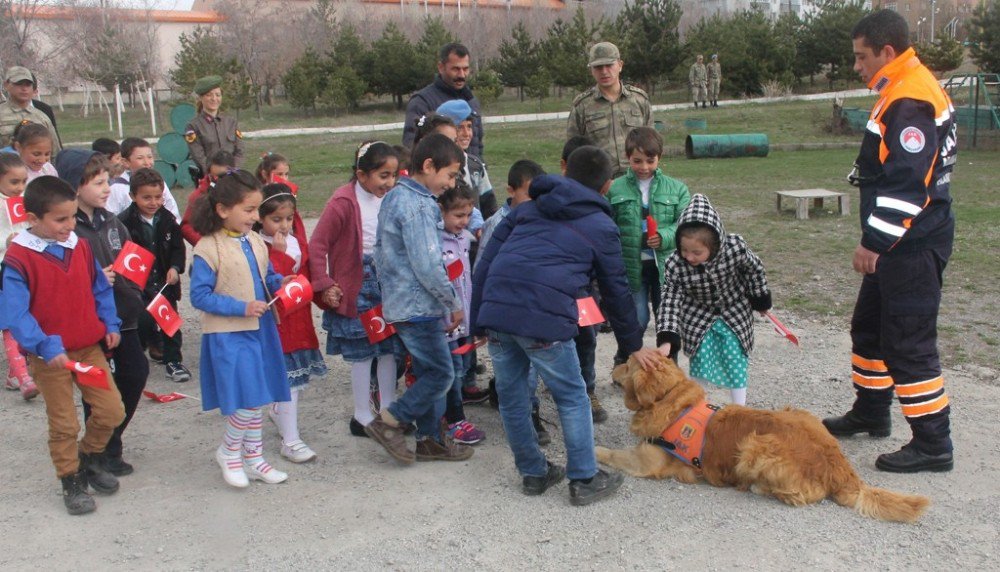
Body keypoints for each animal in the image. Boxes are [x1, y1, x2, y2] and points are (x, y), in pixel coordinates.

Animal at [592, 358, 928, 524]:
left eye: (627, 365)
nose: (612, 366)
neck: (668, 398)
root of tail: (840, 468)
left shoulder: (645, 461)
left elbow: (611, 453)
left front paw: (594, 450)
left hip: (757, 446)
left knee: (793, 495)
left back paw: (756, 486)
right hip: (799, 413)